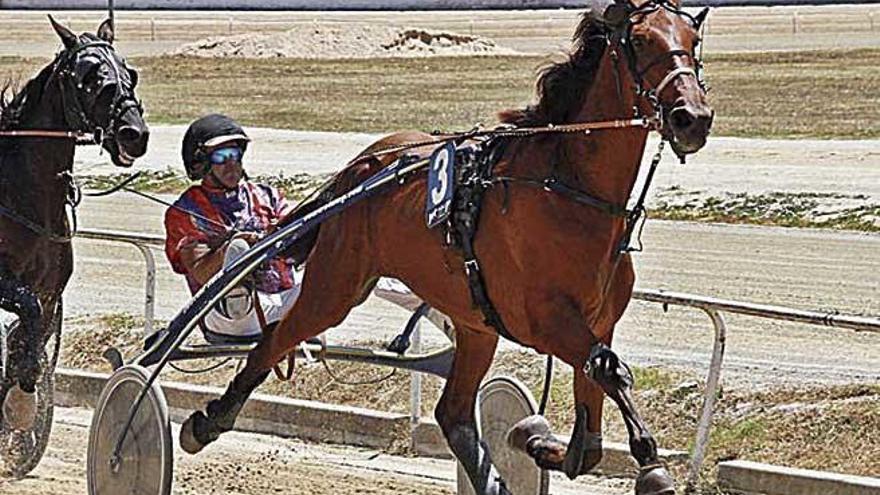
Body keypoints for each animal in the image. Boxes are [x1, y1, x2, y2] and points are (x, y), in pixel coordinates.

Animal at [0, 17, 149, 478]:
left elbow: (28, 344)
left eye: (130, 73)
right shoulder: (9, 285)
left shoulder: (51, 292)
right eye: (88, 77)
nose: (134, 134)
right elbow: (27, 320)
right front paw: (18, 410)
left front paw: (16, 427)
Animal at [182, 1, 712, 494]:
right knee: (276, 339)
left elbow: (589, 441)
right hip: (337, 285)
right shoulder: (545, 320)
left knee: (453, 412)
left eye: (692, 39)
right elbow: (611, 371)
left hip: (475, 322)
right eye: (641, 41)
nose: (693, 117)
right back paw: (208, 420)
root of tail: (367, 162)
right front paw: (650, 466)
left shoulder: (597, 322)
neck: (566, 185)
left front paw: (536, 439)